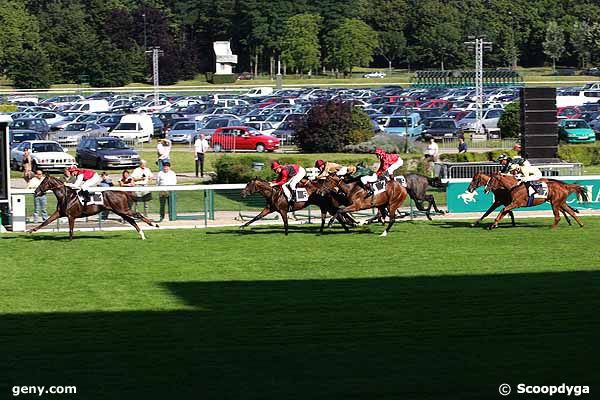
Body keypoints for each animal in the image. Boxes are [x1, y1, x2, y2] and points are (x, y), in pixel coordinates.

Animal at [28, 174, 158, 238]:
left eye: (43, 182)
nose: (36, 192)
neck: (66, 196)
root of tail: (123, 192)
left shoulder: (71, 216)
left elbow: (71, 230)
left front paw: (70, 240)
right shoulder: (59, 213)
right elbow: (46, 222)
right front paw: (31, 230)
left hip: (123, 210)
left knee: (137, 215)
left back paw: (154, 224)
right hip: (120, 211)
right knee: (132, 221)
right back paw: (142, 235)